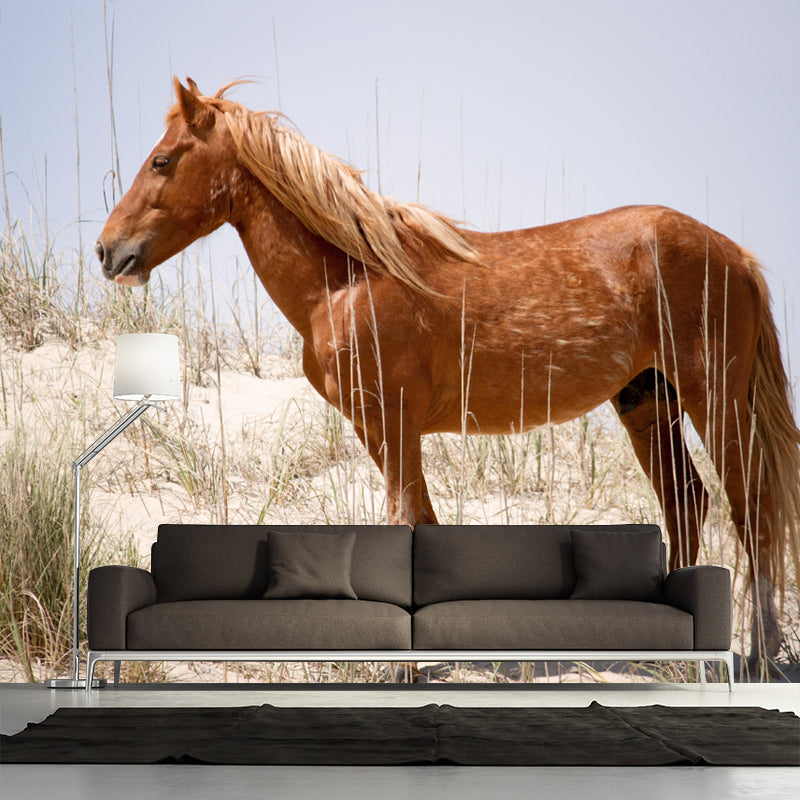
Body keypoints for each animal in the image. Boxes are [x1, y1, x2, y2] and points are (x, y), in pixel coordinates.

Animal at [97, 78, 800, 666]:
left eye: (162, 161)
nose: (109, 251)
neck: (348, 279)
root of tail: (734, 254)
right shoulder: (379, 430)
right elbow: (422, 526)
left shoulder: (394, 421)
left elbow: (403, 522)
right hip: (647, 402)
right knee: (686, 503)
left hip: (715, 399)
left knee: (751, 509)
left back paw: (760, 654)